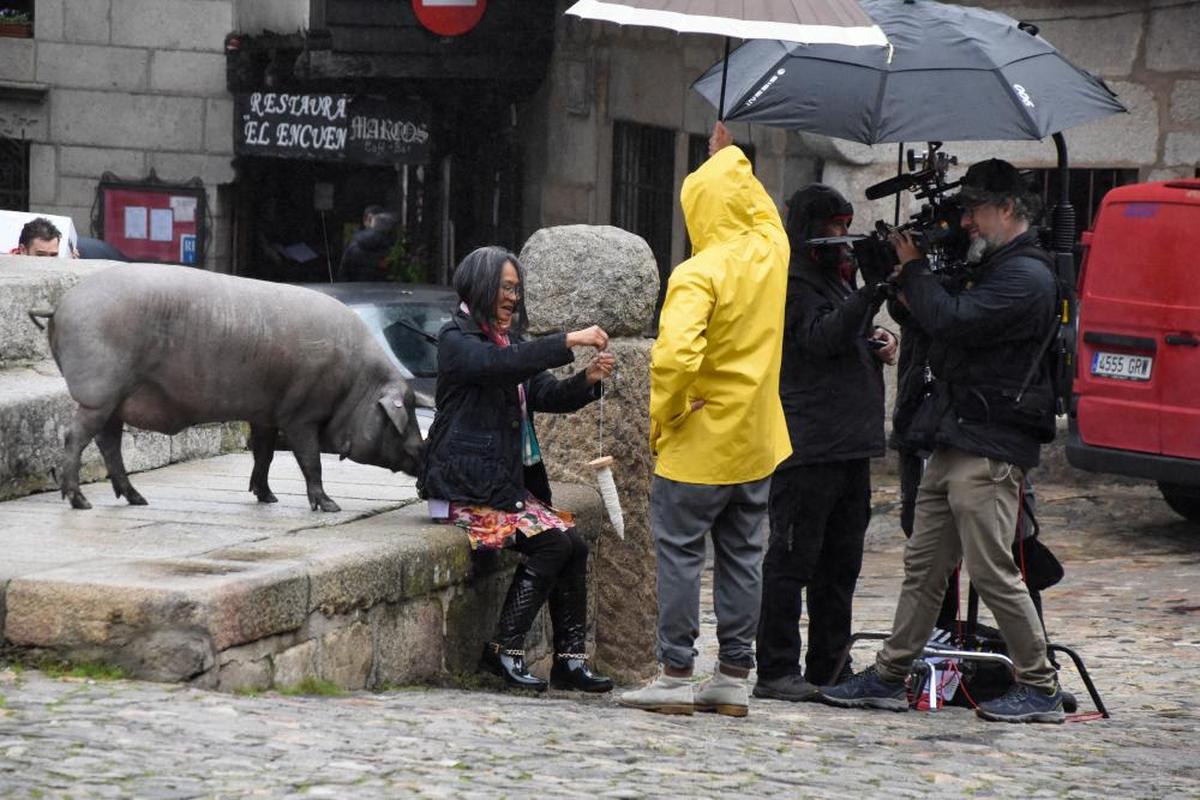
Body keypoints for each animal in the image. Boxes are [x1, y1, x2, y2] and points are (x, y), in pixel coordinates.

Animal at [35, 262, 427, 513]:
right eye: (405, 411)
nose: (422, 453)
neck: (356, 384)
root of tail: (61, 305)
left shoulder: (267, 412)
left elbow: (264, 454)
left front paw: (268, 498)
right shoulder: (300, 414)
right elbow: (310, 460)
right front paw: (330, 506)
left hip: (115, 399)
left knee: (109, 442)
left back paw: (137, 499)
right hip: (98, 392)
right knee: (75, 436)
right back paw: (80, 502)